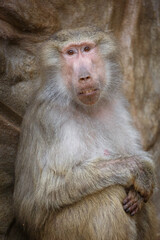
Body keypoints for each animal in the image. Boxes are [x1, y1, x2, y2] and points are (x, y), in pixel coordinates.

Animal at [10, 26, 157, 240]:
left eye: (86, 49)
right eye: (71, 53)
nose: (85, 77)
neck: (85, 107)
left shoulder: (118, 105)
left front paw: (144, 180)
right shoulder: (54, 118)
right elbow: (50, 187)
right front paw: (137, 168)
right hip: (58, 230)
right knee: (107, 197)